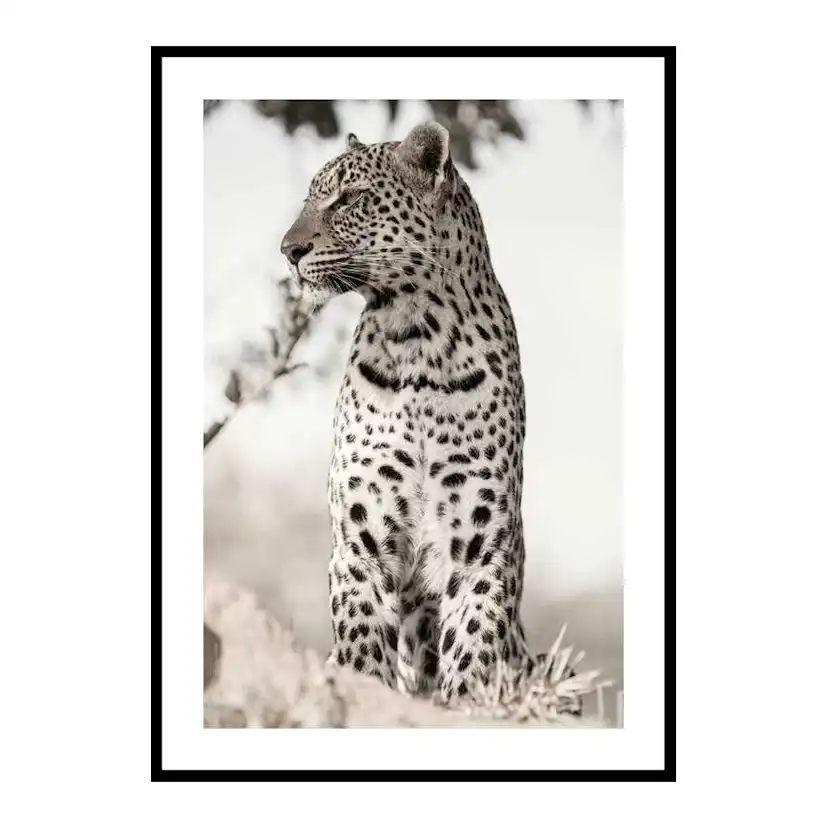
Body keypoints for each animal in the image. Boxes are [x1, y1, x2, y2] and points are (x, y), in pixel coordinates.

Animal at [281, 121, 566, 704]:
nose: (288, 250)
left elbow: (472, 648)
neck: (417, 338)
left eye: (350, 199)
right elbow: (363, 647)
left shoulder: (481, 547)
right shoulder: (360, 541)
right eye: (310, 200)